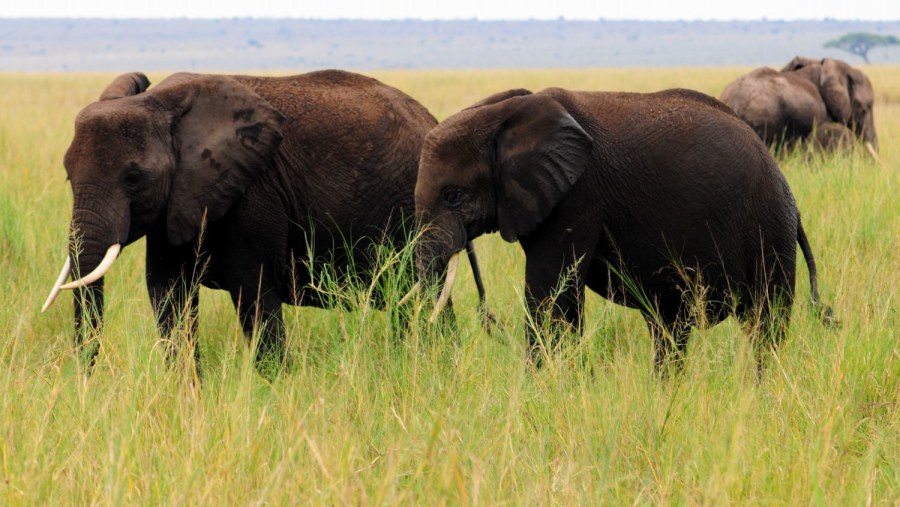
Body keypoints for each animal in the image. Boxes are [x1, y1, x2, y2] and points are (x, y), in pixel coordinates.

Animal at [43, 69, 488, 376]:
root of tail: (430, 118)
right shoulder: (177, 205)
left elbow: (254, 296)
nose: (87, 379)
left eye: (134, 178)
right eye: (67, 176)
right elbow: (169, 295)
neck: (160, 103)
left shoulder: (251, 195)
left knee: (424, 297)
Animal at [414, 87, 836, 374]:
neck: (507, 112)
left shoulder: (577, 197)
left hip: (770, 229)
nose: (488, 322)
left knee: (765, 324)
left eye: (453, 195)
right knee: (671, 328)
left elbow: (552, 297)